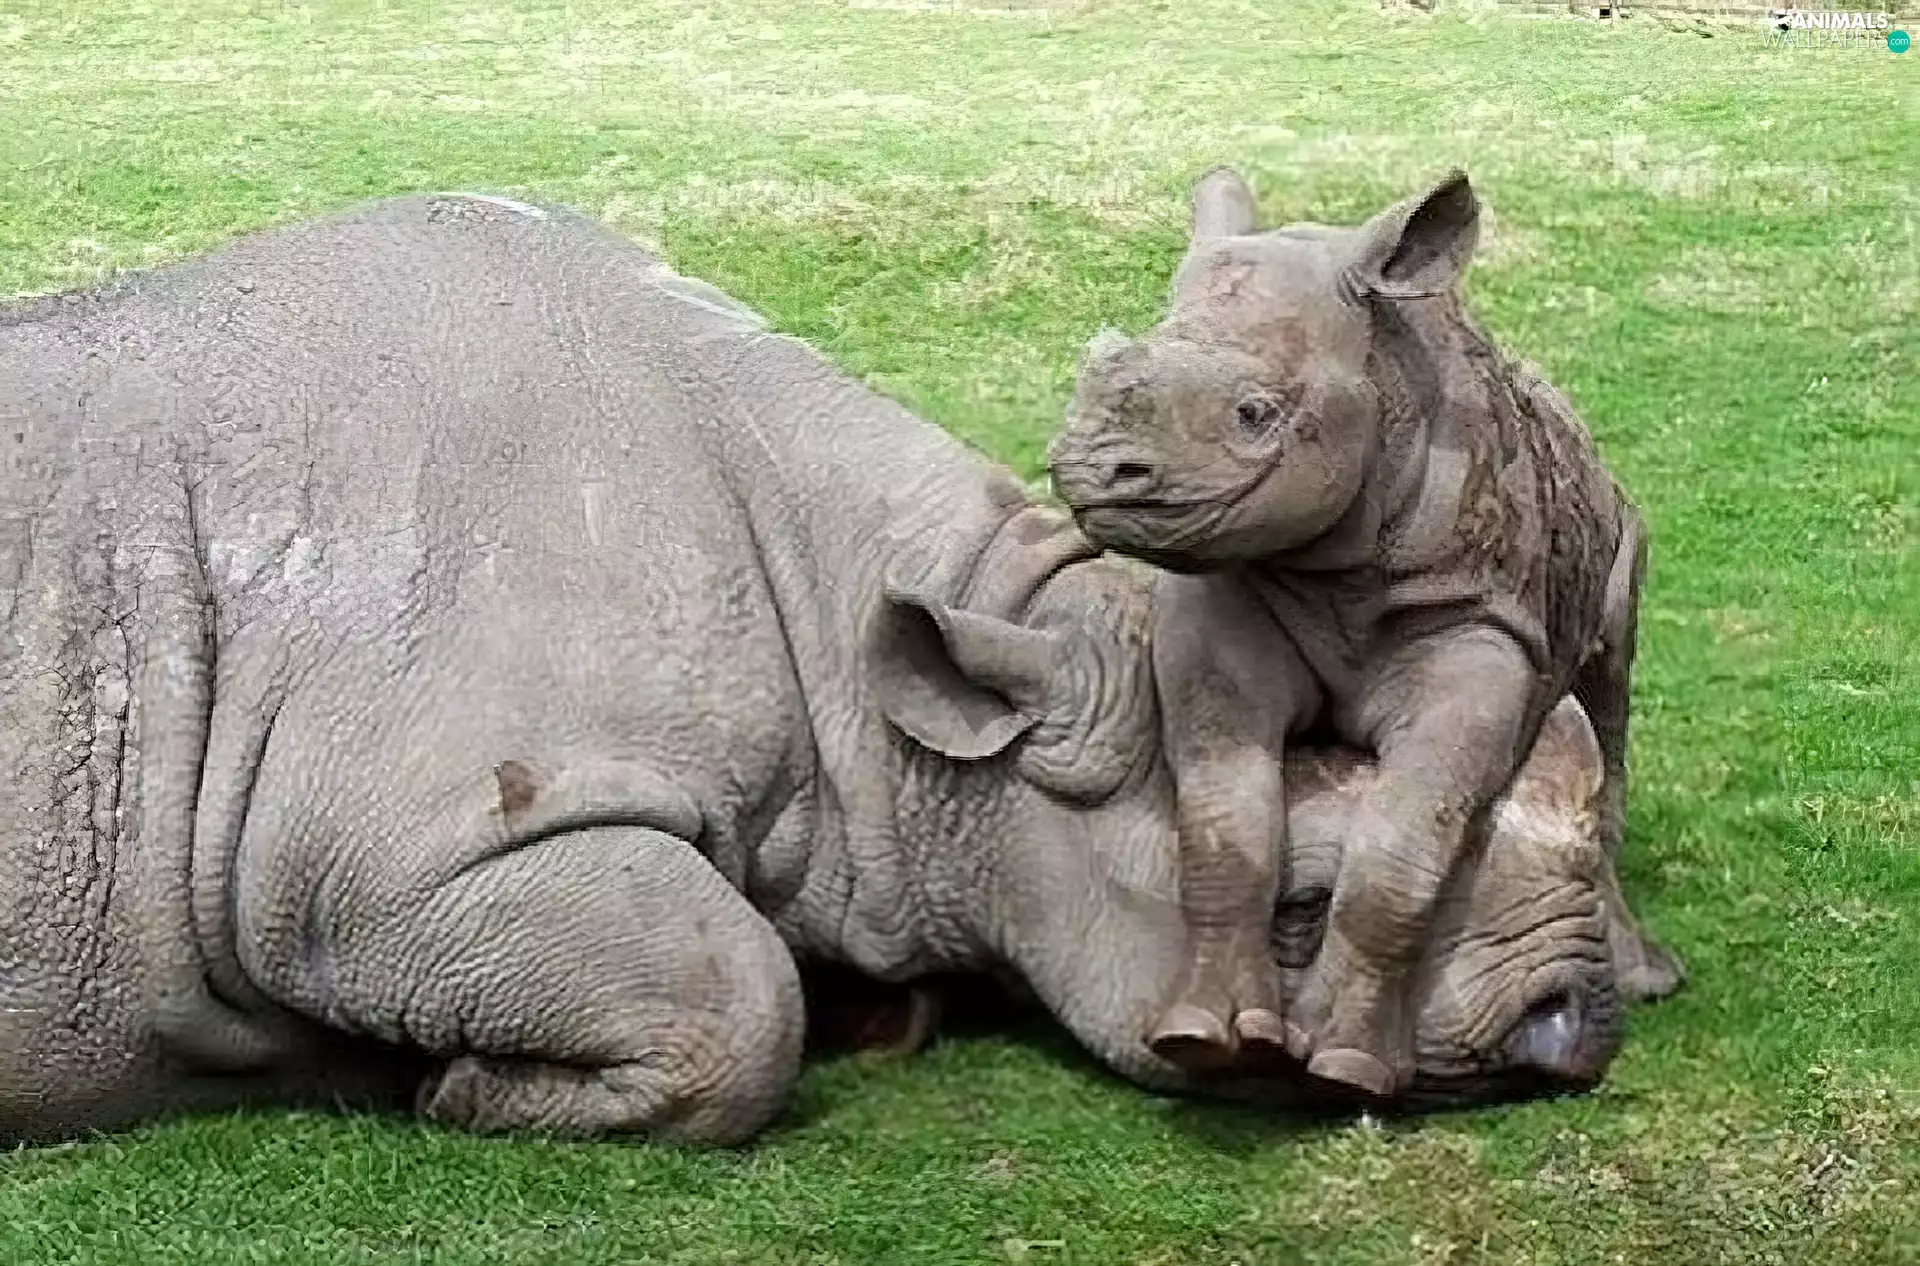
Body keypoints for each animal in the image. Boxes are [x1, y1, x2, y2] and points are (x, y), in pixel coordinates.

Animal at [1045, 168, 1684, 1098]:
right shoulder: (1228, 596)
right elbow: (1224, 827)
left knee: (1607, 700)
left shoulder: (1476, 622)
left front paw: (1346, 1066)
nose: (1091, 470)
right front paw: (1202, 1035)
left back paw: (1648, 979)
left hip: (1619, 530)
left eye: (1254, 413)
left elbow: (1403, 839)